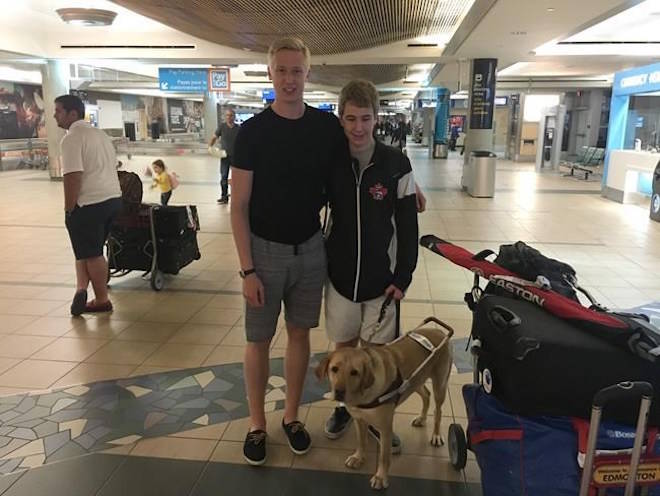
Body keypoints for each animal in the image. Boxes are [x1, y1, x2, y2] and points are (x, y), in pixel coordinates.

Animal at [316, 320, 454, 490]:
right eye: (334, 369)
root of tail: (439, 332)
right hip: (414, 382)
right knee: (426, 395)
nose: (339, 393)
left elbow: (384, 457)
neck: (362, 395)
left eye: (354, 372)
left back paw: (436, 435)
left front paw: (380, 477)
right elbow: (361, 442)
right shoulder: (359, 420)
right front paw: (358, 457)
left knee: (438, 410)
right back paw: (421, 418)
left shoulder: (385, 428)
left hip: (440, 384)